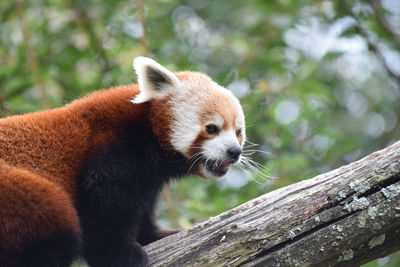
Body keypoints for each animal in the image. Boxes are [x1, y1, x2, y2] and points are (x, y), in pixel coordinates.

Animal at [0, 57, 245, 266]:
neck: (146, 126)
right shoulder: (113, 148)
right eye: (212, 128)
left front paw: (158, 235)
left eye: (238, 131)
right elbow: (106, 209)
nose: (235, 151)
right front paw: (121, 255)